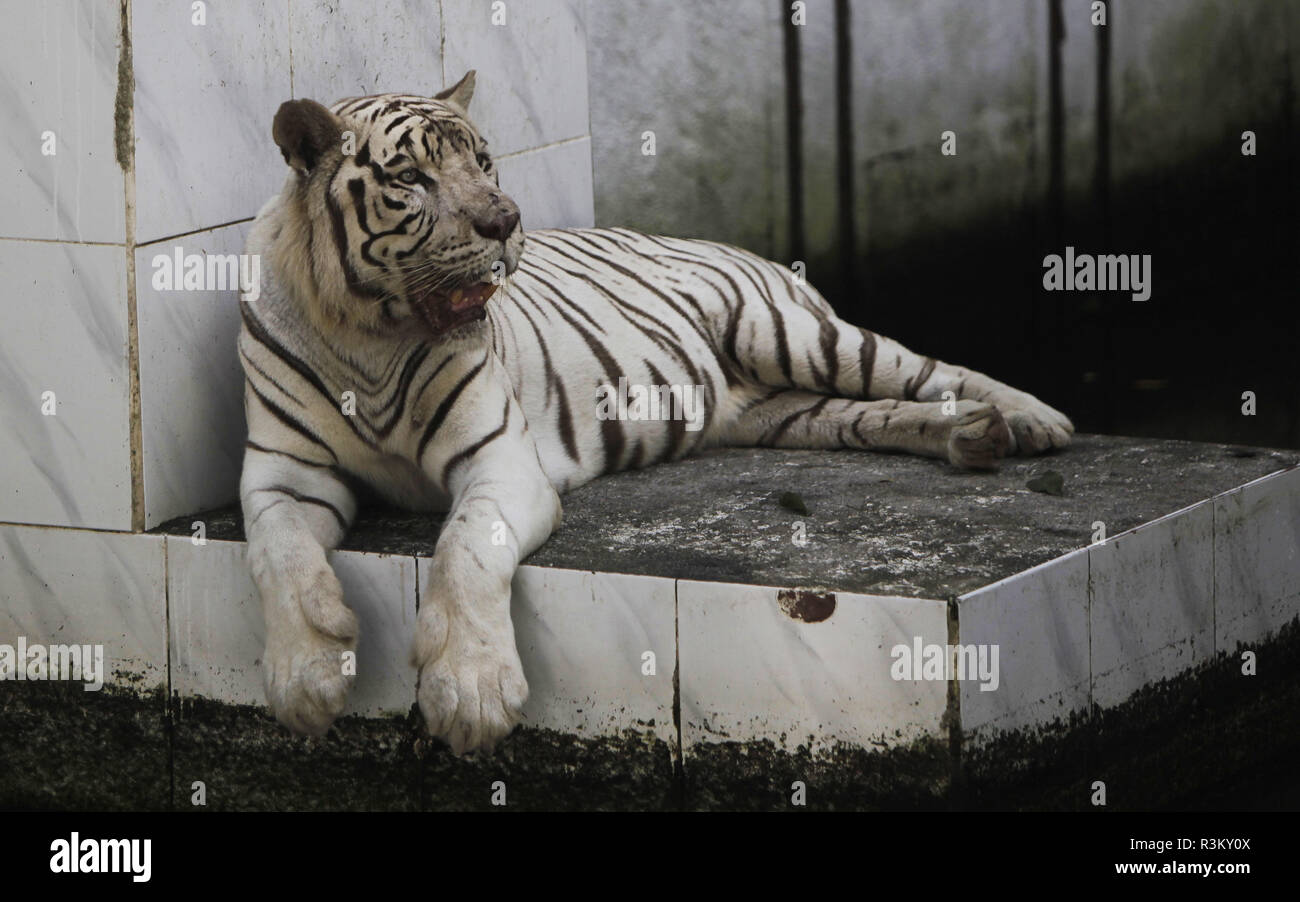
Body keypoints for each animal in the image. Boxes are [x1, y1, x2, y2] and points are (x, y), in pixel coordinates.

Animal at [239, 71, 1073, 755]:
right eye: (410, 178)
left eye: (483, 161)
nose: (506, 221)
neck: (368, 337)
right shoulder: (284, 475)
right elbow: (278, 553)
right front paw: (304, 678)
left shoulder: (498, 458)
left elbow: (465, 551)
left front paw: (469, 693)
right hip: (784, 409)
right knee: (868, 414)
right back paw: (970, 436)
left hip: (792, 335)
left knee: (928, 367)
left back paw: (1033, 420)